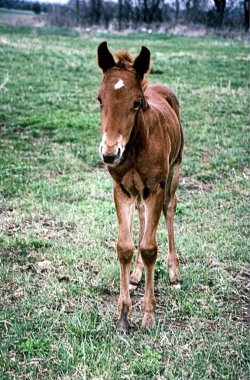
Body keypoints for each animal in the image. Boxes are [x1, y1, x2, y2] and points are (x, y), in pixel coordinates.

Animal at [96, 42, 183, 332]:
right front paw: (123, 315)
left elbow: (148, 248)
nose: (110, 153)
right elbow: (125, 246)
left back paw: (174, 271)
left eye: (136, 102)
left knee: (170, 208)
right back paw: (135, 275)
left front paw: (148, 315)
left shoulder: (155, 188)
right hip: (138, 192)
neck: (134, 148)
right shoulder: (121, 190)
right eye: (99, 99)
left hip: (175, 169)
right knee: (143, 215)